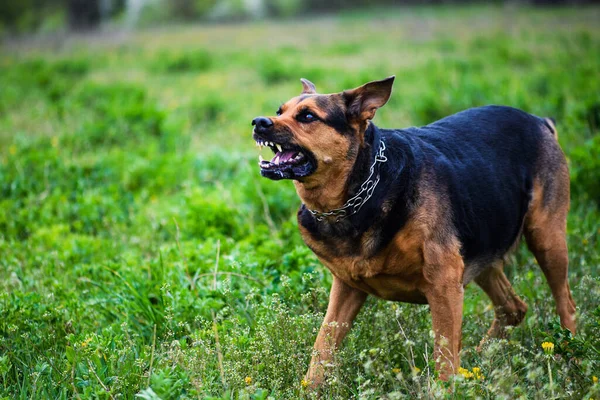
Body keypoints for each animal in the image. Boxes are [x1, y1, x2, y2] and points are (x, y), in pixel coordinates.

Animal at [250, 76, 576, 386]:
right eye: (279, 111)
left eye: (307, 116)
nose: (258, 122)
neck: (363, 187)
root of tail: (538, 121)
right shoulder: (347, 287)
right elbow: (323, 347)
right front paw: (310, 389)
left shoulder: (444, 285)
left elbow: (444, 357)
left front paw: (446, 390)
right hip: (481, 248)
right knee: (513, 308)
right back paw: (480, 359)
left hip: (546, 238)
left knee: (566, 304)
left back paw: (570, 355)